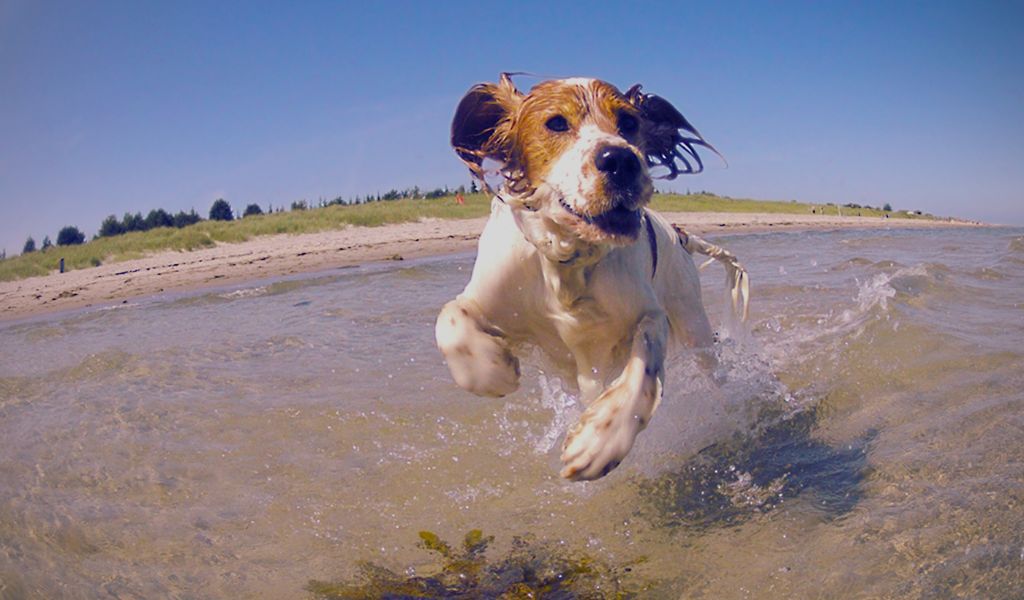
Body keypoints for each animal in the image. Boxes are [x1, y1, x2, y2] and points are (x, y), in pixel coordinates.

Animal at [436, 75, 749, 481]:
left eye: (629, 122)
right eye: (555, 123)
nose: (620, 160)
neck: (569, 262)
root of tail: (680, 233)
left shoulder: (648, 315)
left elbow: (643, 367)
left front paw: (600, 441)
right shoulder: (490, 295)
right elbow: (450, 318)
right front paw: (492, 371)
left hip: (693, 321)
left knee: (713, 372)